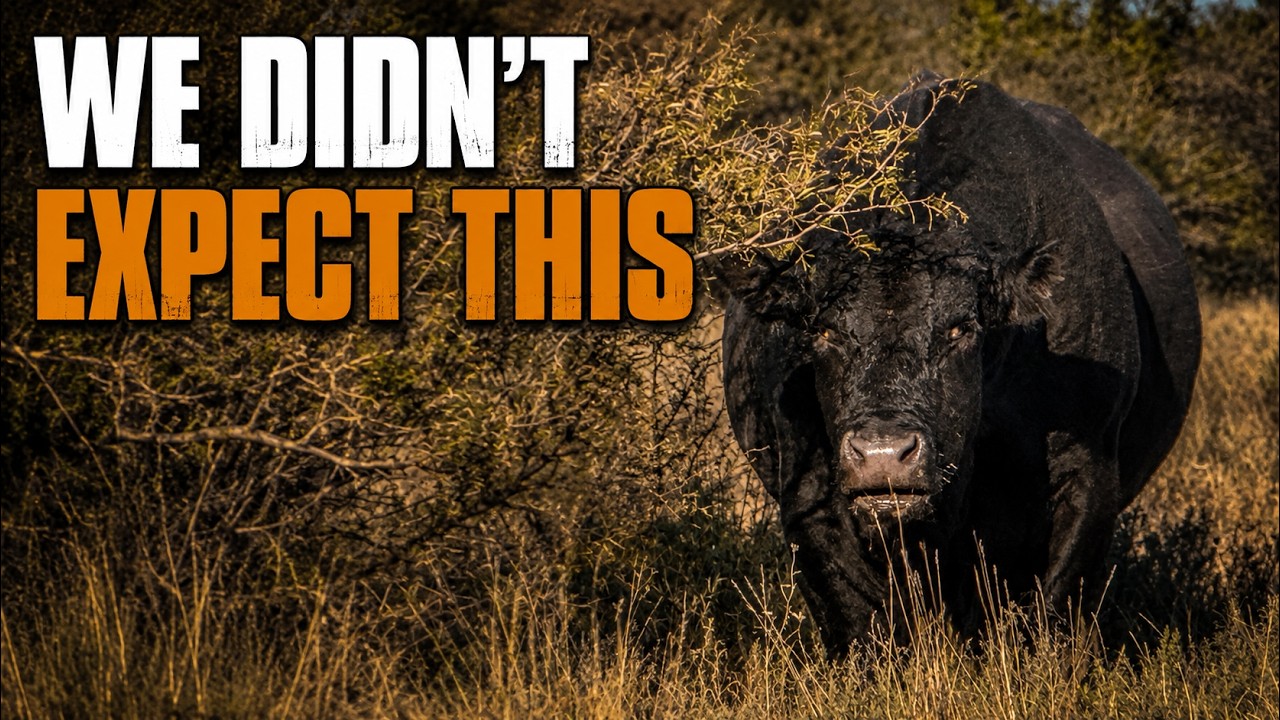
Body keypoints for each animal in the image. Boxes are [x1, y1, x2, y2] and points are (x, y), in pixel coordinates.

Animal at [716, 73, 1201, 654]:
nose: (883, 454)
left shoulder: (1086, 477)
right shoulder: (809, 494)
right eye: (824, 331)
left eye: (960, 328)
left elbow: (1050, 614)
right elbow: (859, 624)